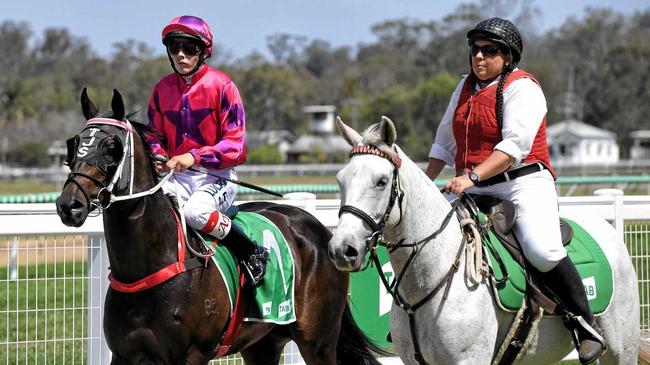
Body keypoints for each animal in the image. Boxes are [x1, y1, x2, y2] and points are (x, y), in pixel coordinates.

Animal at [55, 89, 384, 364]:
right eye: (74, 145)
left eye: (112, 147)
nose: (69, 205)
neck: (149, 269)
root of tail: (320, 229)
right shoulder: (124, 355)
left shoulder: (193, 355)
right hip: (263, 343)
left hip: (317, 340)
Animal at [330, 116, 644, 364]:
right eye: (340, 180)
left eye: (381, 181)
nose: (342, 250)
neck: (434, 276)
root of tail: (605, 227)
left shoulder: (470, 359)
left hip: (621, 350)